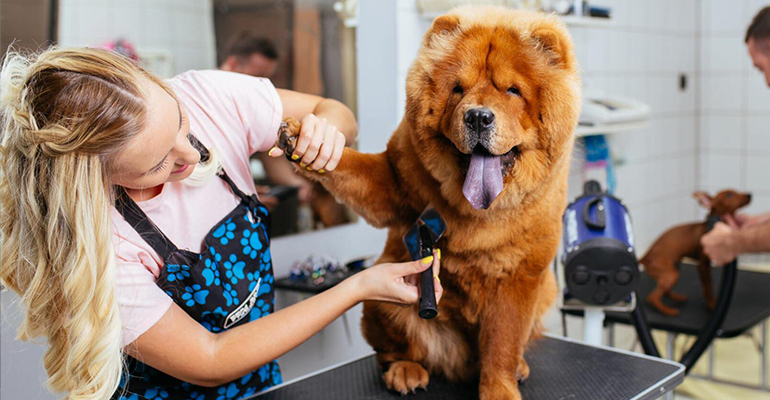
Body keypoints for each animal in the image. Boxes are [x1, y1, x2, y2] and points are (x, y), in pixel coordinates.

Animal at [274, 6, 576, 400]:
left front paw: (499, 388)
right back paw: (405, 372)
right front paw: (303, 139)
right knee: (395, 351)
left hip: (545, 291)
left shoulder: (519, 278)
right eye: (458, 89)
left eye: (513, 90)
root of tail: (461, 362)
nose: (478, 116)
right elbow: (351, 165)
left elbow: (503, 343)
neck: (478, 209)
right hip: (383, 303)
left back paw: (519, 367)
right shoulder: (393, 179)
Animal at [636, 189, 752, 318]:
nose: (749, 195)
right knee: (652, 297)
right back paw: (668, 311)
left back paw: (677, 298)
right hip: (671, 274)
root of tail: (645, 257)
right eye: (729, 195)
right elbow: (708, 287)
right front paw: (711, 305)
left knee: (664, 291)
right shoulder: (703, 265)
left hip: (673, 269)